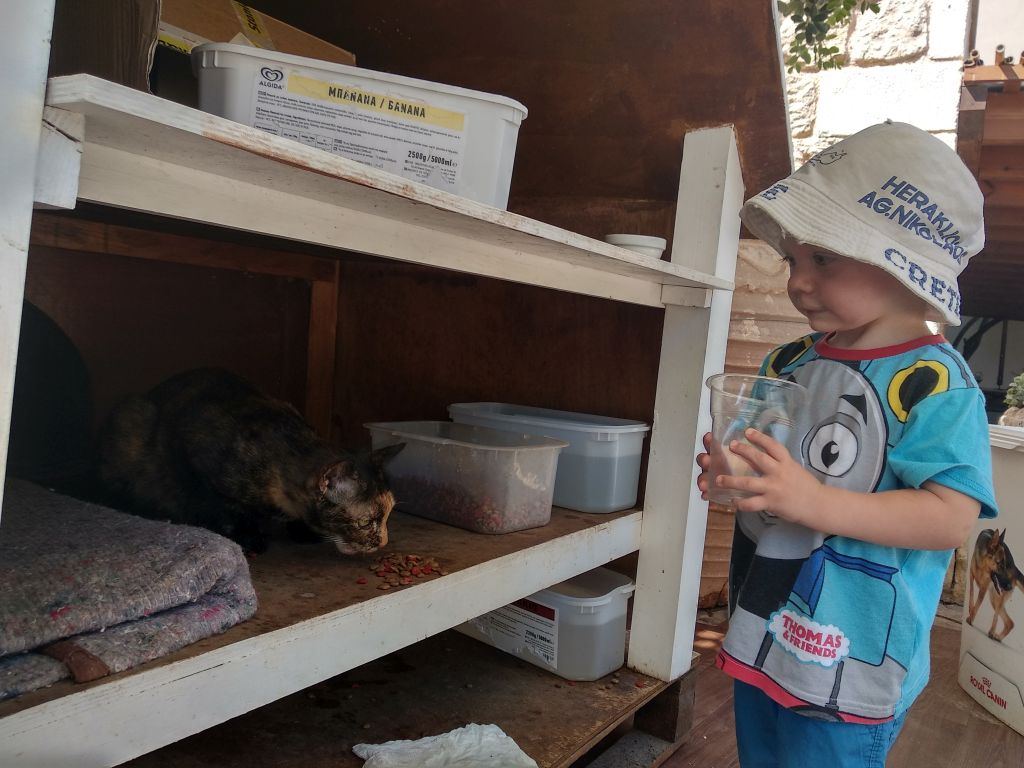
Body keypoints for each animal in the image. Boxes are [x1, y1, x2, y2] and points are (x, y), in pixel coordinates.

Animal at [97, 367, 403, 555]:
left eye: (389, 514)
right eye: (366, 523)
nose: (383, 543)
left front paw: (302, 530)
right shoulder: (194, 462)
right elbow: (225, 508)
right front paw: (248, 537)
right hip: (131, 418)